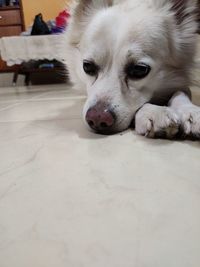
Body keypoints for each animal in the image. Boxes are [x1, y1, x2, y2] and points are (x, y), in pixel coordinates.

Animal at [65, 0, 200, 138]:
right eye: (87, 66)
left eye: (139, 69)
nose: (97, 118)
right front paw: (154, 111)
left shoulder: (181, 82)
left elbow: (181, 93)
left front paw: (191, 111)